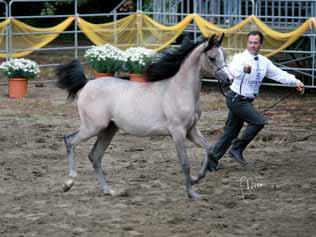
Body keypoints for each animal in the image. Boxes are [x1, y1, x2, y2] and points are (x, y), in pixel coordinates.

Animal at [56, 34, 230, 199]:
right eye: (212, 57)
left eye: (225, 55)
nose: (229, 79)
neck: (179, 90)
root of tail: (87, 83)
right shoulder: (178, 132)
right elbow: (185, 163)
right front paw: (191, 193)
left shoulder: (191, 130)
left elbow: (210, 149)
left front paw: (196, 179)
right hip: (93, 127)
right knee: (69, 140)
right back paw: (68, 183)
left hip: (108, 129)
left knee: (95, 156)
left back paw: (110, 191)